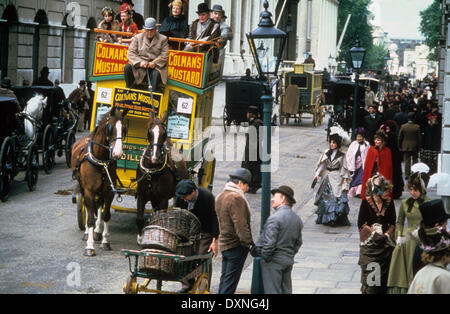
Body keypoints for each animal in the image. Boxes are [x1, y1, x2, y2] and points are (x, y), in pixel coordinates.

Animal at [70, 106, 129, 256]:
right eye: (109, 127)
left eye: (124, 128)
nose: (118, 153)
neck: (101, 162)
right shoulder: (89, 191)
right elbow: (90, 217)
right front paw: (90, 247)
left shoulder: (109, 192)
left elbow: (106, 215)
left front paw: (105, 242)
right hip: (83, 188)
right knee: (88, 208)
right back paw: (87, 233)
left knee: (100, 208)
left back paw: (97, 232)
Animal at [135, 110, 188, 238]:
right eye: (149, 132)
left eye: (164, 133)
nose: (155, 157)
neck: (151, 172)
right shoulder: (142, 195)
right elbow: (139, 219)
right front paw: (140, 237)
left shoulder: (163, 199)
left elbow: (161, 220)